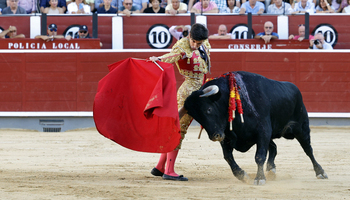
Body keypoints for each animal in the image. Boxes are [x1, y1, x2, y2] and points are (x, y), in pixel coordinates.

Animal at [183, 71, 328, 185]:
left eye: (208, 109)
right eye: (196, 118)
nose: (215, 136)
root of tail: (294, 88)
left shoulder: (263, 132)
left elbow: (259, 156)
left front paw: (259, 179)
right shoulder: (227, 136)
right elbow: (228, 157)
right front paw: (242, 175)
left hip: (301, 128)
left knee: (308, 150)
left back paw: (320, 172)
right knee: (274, 147)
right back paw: (271, 170)